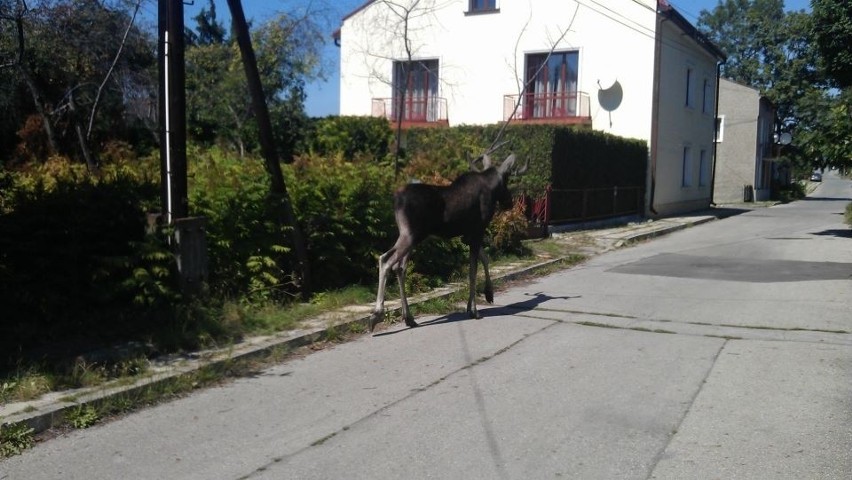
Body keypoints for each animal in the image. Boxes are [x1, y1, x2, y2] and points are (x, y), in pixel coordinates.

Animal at [368, 152, 524, 332]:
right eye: (506, 179)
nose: (509, 202)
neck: (490, 187)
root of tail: (396, 199)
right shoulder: (477, 230)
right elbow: (473, 270)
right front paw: (474, 309)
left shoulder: (467, 235)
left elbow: (484, 259)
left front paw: (486, 295)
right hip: (410, 235)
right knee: (385, 260)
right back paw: (377, 314)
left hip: (412, 237)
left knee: (400, 267)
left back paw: (409, 318)